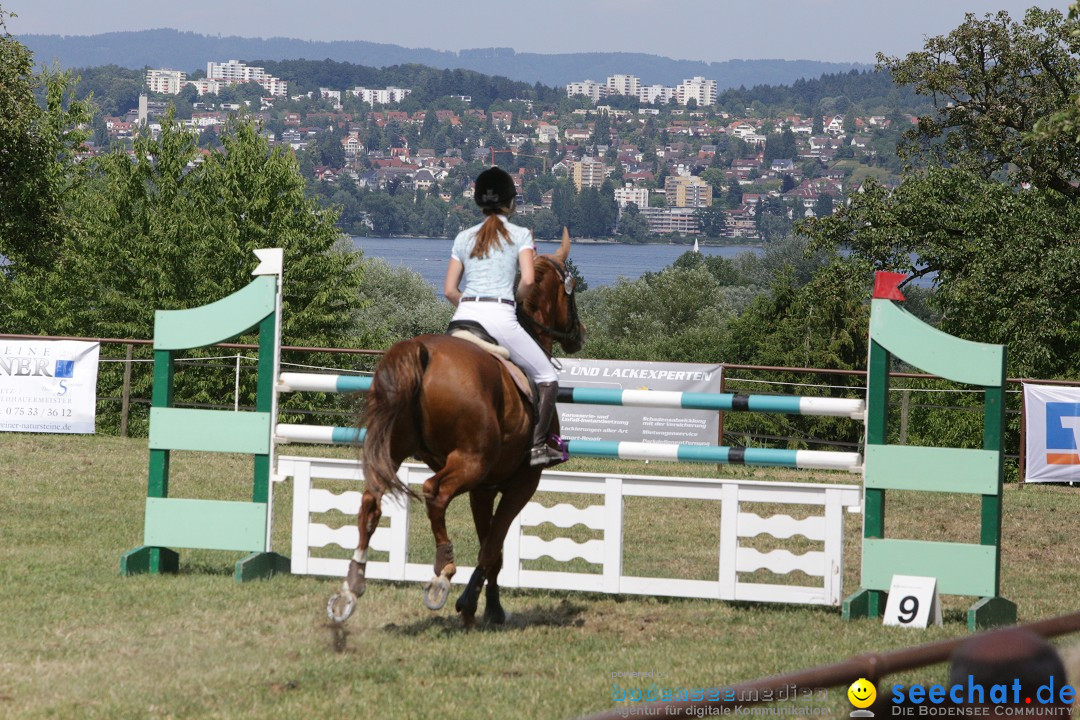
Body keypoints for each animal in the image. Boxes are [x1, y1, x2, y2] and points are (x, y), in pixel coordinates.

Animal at [326, 229, 583, 626]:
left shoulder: (484, 488)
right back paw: (442, 573)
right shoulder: (522, 483)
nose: (579, 334)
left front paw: (486, 607)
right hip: (468, 461)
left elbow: (492, 548)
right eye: (571, 291)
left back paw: (353, 584)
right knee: (434, 493)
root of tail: (420, 351)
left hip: (396, 449)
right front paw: (475, 605)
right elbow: (492, 549)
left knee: (371, 501)